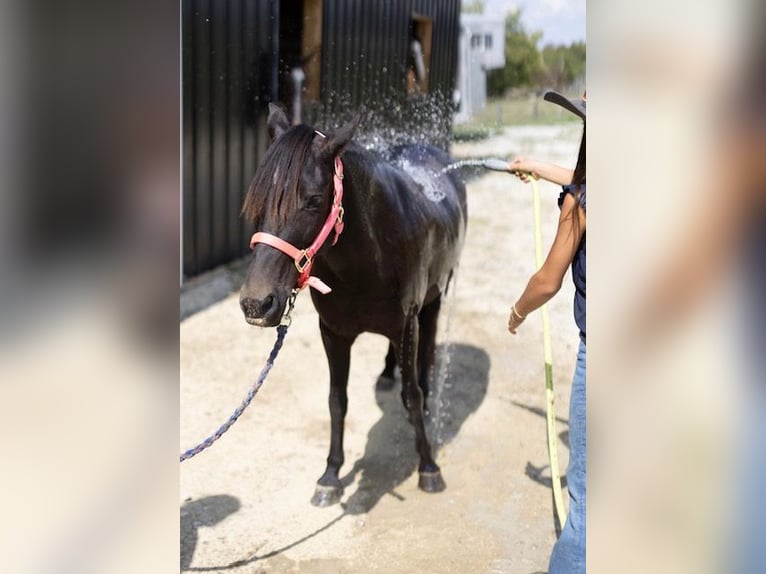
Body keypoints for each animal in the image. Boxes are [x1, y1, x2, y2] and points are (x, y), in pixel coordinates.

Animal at [239, 103, 467, 506]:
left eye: (314, 201)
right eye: (260, 198)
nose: (256, 303)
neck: (371, 256)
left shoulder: (406, 324)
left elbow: (412, 396)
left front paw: (428, 467)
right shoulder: (333, 332)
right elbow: (337, 400)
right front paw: (330, 475)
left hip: (438, 293)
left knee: (428, 343)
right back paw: (387, 373)